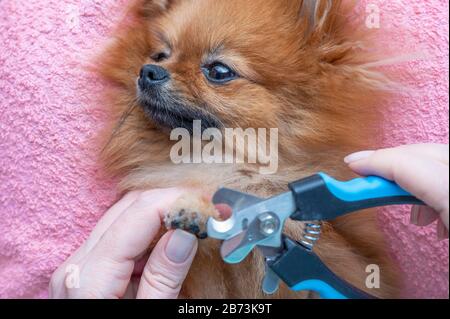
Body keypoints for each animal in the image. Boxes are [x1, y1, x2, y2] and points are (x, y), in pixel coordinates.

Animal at [96, 0, 400, 300]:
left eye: (218, 71)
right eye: (160, 55)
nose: (148, 71)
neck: (227, 160)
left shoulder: (347, 253)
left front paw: (200, 210)